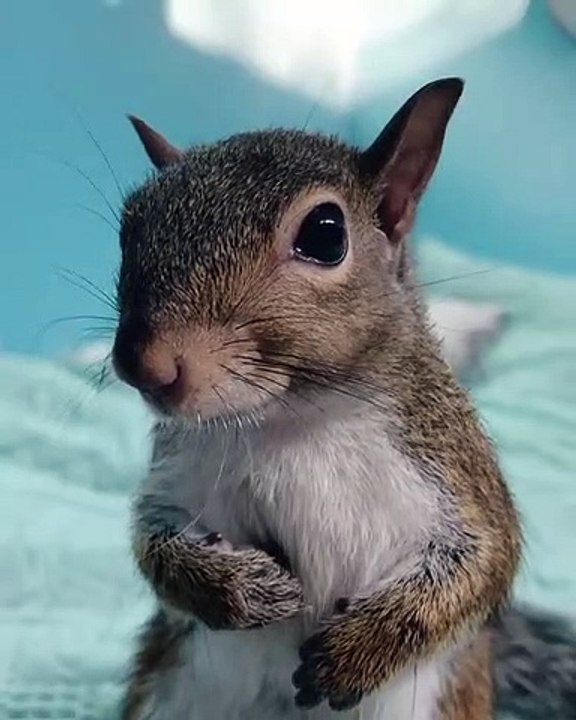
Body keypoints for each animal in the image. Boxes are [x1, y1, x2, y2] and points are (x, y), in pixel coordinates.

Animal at [112, 78, 523, 720]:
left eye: (326, 235)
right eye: (130, 225)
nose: (142, 365)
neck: (292, 417)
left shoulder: (453, 469)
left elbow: (482, 562)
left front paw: (359, 650)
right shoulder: (177, 480)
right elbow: (154, 542)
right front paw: (241, 589)